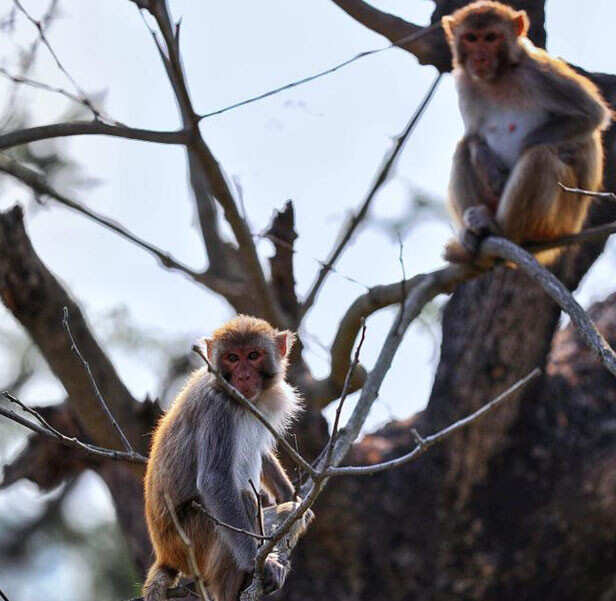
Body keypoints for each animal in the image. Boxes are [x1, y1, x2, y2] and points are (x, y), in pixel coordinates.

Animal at [145, 316, 308, 596]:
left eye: (253, 355)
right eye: (232, 358)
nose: (243, 375)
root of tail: (165, 555)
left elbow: (262, 453)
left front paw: (288, 493)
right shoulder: (216, 410)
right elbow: (215, 480)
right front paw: (257, 563)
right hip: (192, 541)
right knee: (243, 499)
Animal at [442, 0, 612, 262]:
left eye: (491, 37)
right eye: (471, 38)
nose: (480, 58)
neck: (499, 77)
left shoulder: (540, 72)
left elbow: (590, 115)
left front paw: (521, 152)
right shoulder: (465, 82)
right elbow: (473, 136)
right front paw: (486, 161)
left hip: (560, 220)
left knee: (540, 156)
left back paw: (502, 230)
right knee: (462, 149)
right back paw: (476, 233)